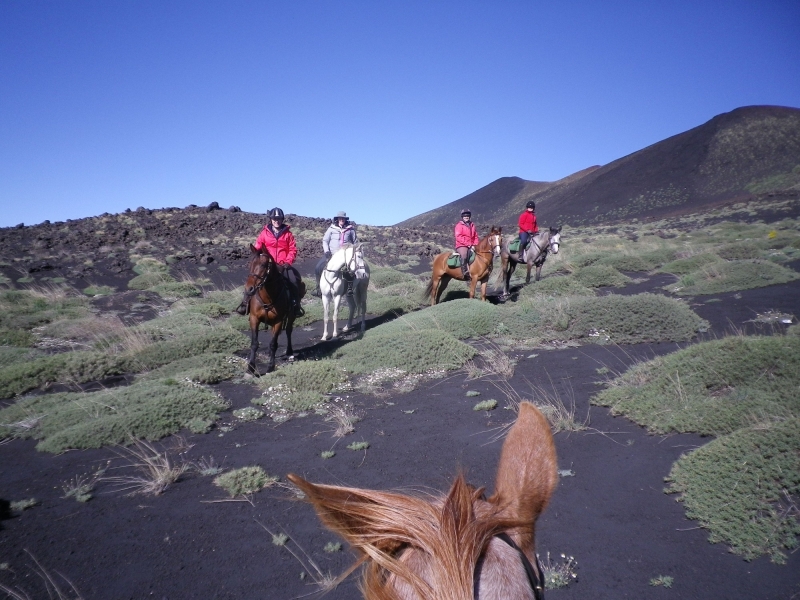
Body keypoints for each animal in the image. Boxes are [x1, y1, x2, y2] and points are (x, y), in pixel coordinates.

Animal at [242, 244, 304, 376]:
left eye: (263, 265)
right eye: (250, 264)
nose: (249, 289)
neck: (267, 297)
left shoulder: (278, 322)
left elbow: (273, 344)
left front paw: (270, 367)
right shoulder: (254, 319)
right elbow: (254, 343)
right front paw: (250, 367)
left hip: (291, 316)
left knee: (288, 331)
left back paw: (289, 352)